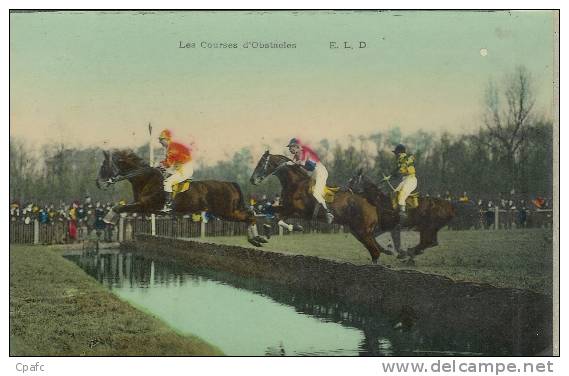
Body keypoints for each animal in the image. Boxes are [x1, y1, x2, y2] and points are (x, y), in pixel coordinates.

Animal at [97, 148, 266, 248]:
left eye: (104, 166)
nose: (98, 183)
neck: (146, 178)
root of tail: (229, 183)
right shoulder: (142, 206)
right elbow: (120, 207)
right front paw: (109, 219)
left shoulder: (145, 205)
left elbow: (120, 207)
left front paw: (107, 219)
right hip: (229, 211)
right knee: (250, 214)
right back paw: (256, 238)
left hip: (226, 212)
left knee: (249, 217)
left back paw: (255, 239)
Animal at [251, 151, 392, 262]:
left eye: (261, 163)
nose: (252, 180)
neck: (295, 183)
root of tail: (372, 205)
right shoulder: (287, 208)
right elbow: (273, 215)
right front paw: (266, 233)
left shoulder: (296, 211)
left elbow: (276, 218)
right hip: (358, 231)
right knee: (375, 251)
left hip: (363, 231)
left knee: (375, 252)